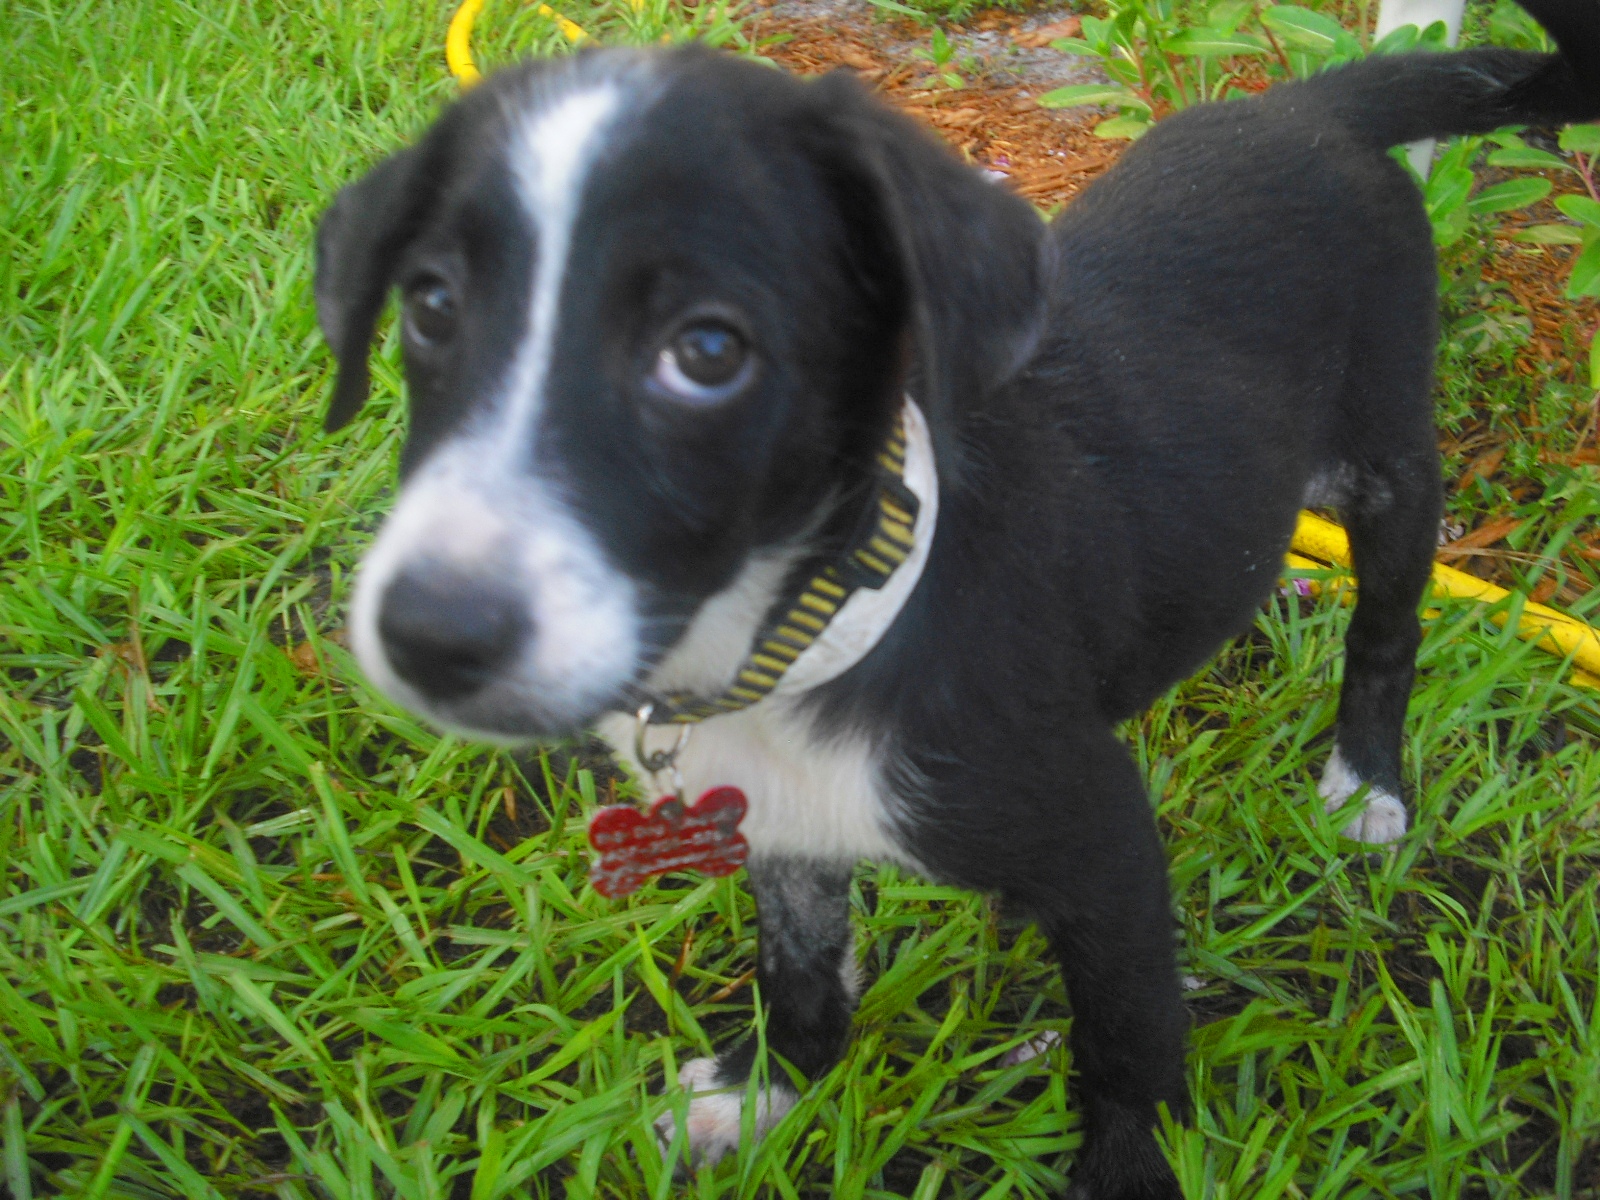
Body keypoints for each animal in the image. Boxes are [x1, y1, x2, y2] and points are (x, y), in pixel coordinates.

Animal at [315, 2, 1600, 1196]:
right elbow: (798, 968)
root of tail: (1310, 105)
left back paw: (1366, 782)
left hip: (1386, 458)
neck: (814, 631)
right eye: (430, 307)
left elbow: (1129, 1045)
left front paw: (1127, 1167)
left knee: (1388, 627)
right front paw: (763, 1088)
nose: (427, 636)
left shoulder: (1108, 850)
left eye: (708, 351)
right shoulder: (784, 823)